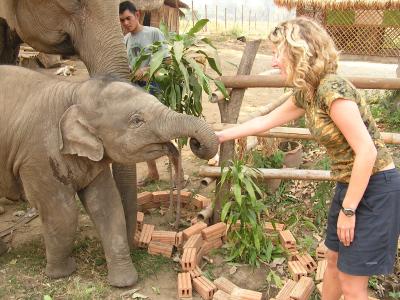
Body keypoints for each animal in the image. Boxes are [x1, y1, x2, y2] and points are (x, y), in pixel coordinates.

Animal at [0, 65, 219, 286]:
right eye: (136, 120)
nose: (194, 142)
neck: (72, 93)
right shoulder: (38, 157)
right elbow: (62, 212)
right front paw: (61, 273)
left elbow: (106, 204)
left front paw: (124, 282)